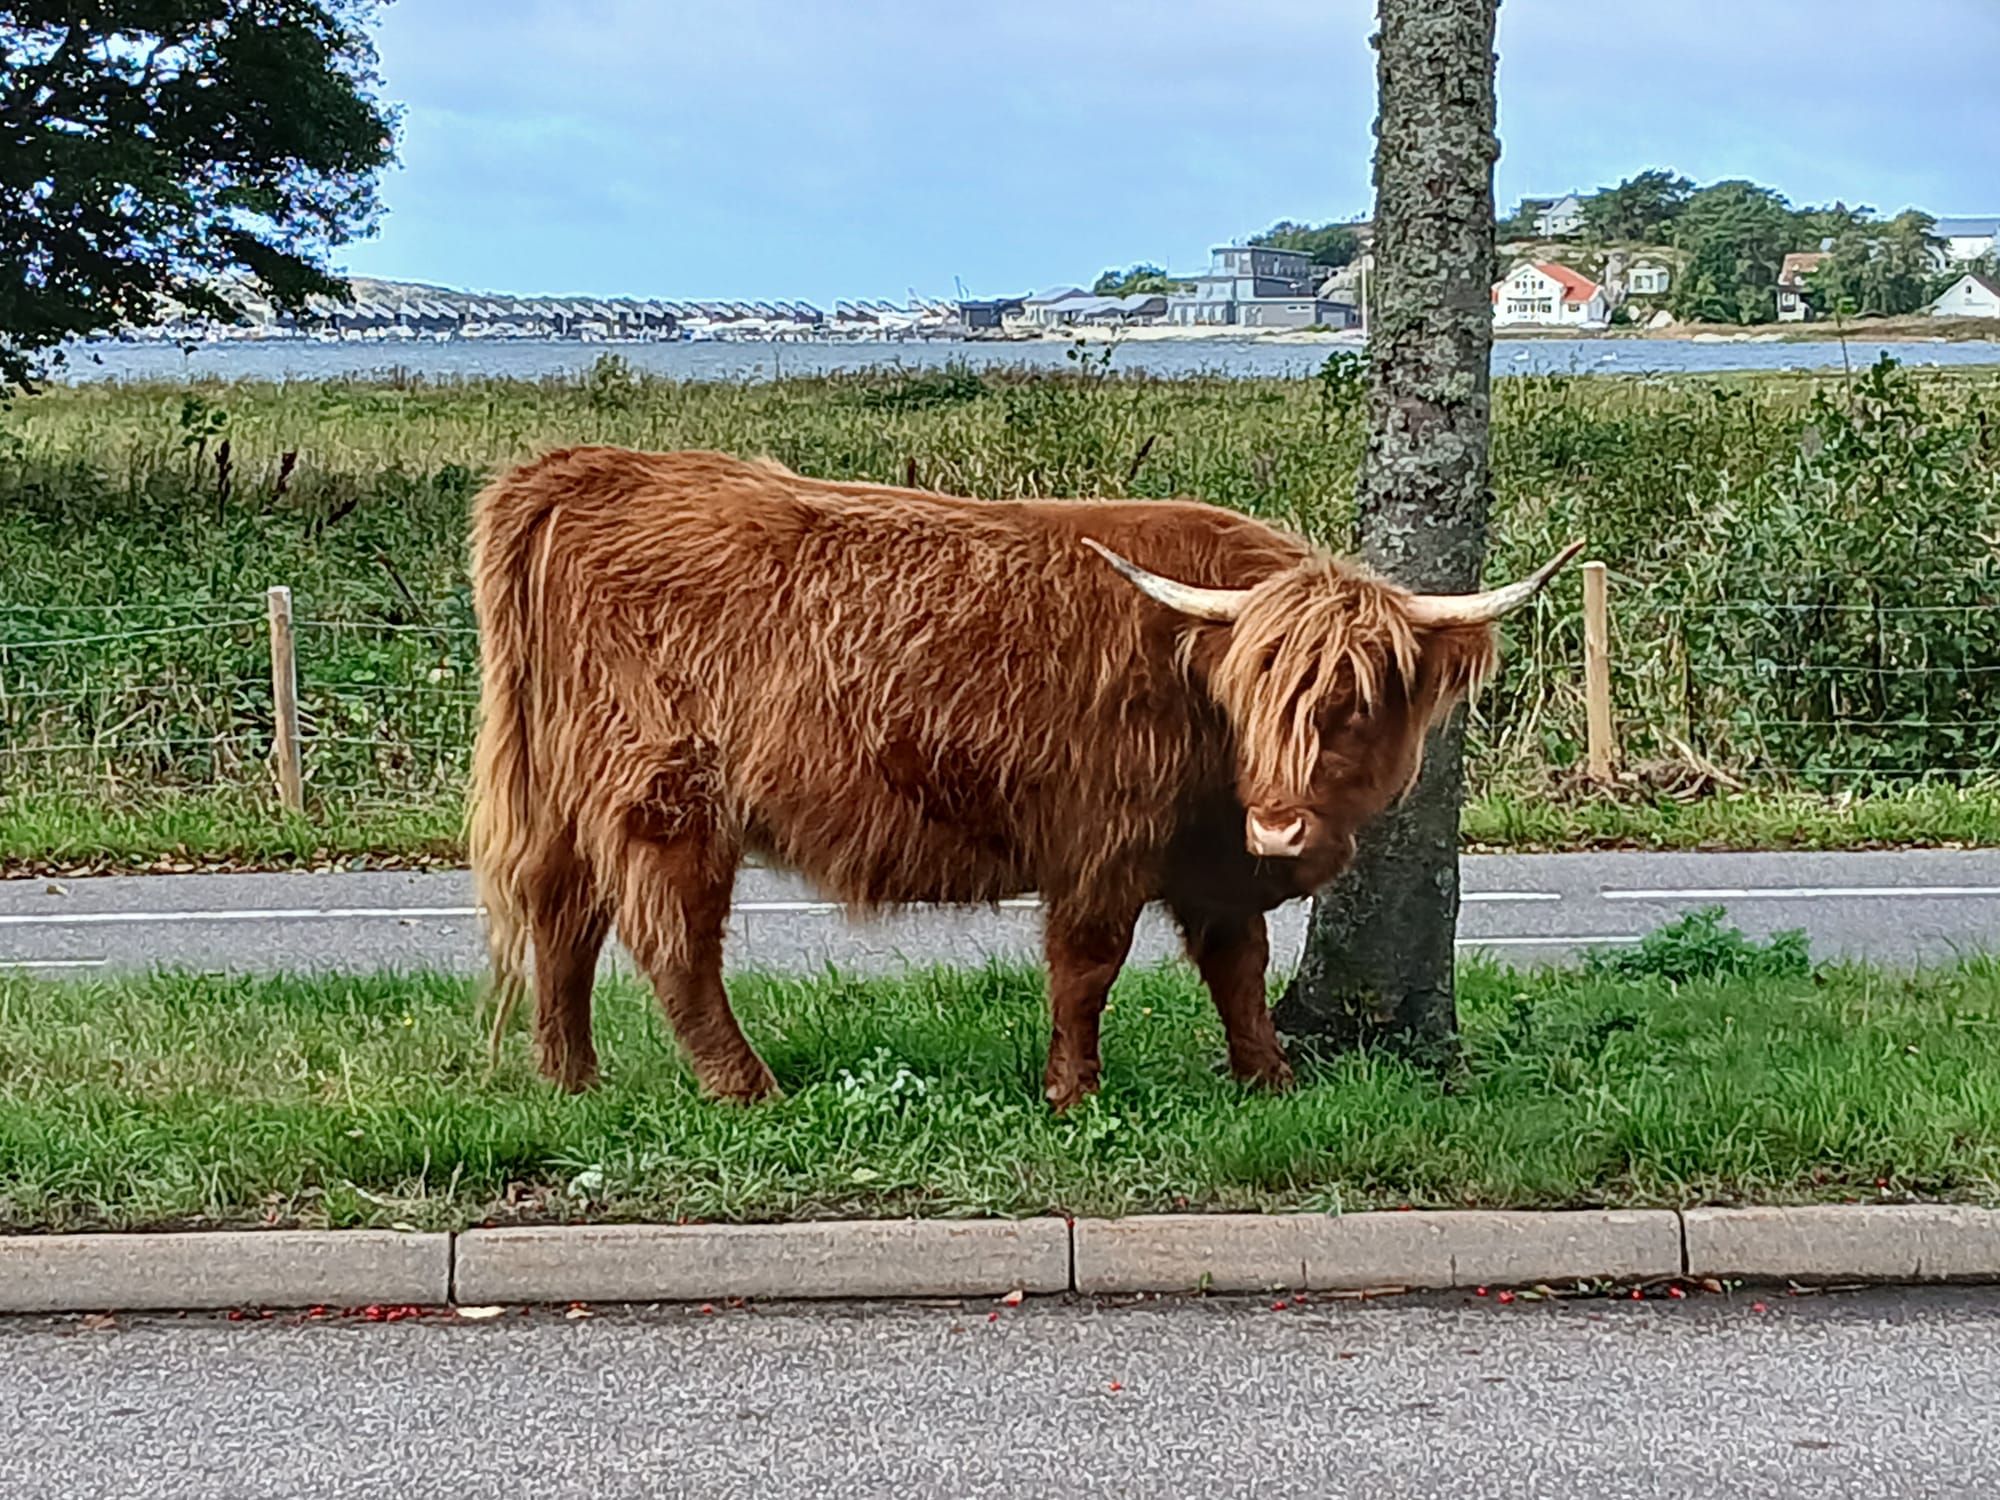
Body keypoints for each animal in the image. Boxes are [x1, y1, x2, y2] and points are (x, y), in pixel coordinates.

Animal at [467, 447, 1576, 1109]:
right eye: (1255, 698)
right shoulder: (1104, 842)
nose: (1279, 829)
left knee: (562, 918)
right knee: (671, 943)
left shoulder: (1208, 861)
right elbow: (1086, 970)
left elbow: (1238, 965)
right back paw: (744, 1087)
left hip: (563, 791)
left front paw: (1268, 1077)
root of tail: (594, 465)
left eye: (1353, 702)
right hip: (665, 795)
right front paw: (1071, 1092)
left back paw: (569, 1078)